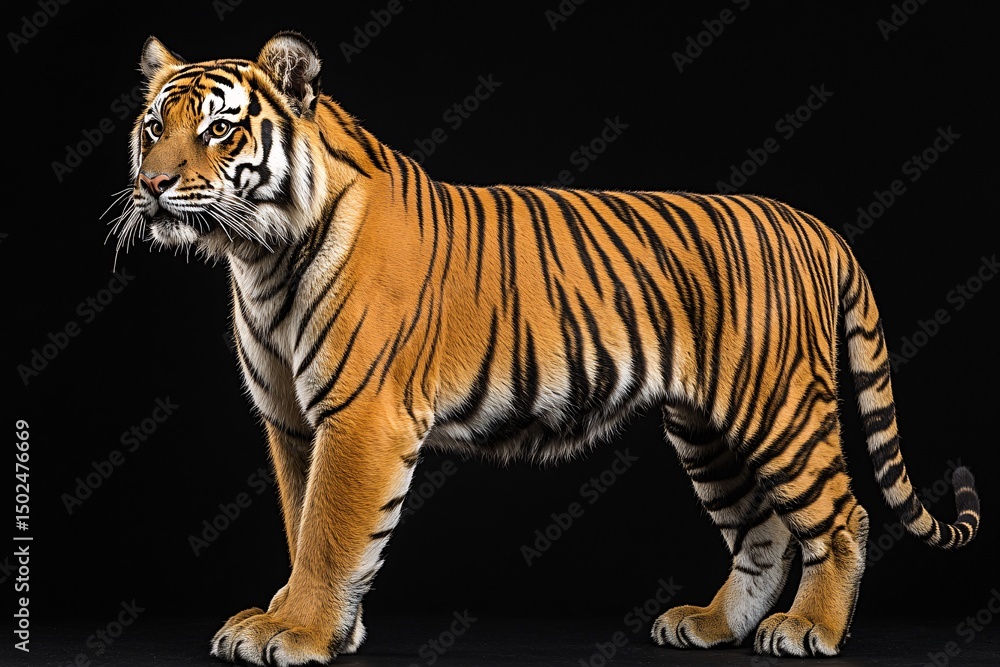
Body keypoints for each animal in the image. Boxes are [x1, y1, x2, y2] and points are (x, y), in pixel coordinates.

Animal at [112, 32, 981, 665]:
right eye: (154, 127)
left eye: (219, 128)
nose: (151, 185)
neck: (259, 256)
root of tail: (816, 225)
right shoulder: (293, 422)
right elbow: (303, 522)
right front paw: (320, 624)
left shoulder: (359, 419)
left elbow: (329, 531)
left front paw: (295, 633)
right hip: (704, 427)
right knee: (761, 532)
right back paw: (710, 624)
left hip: (778, 409)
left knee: (842, 517)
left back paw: (810, 631)